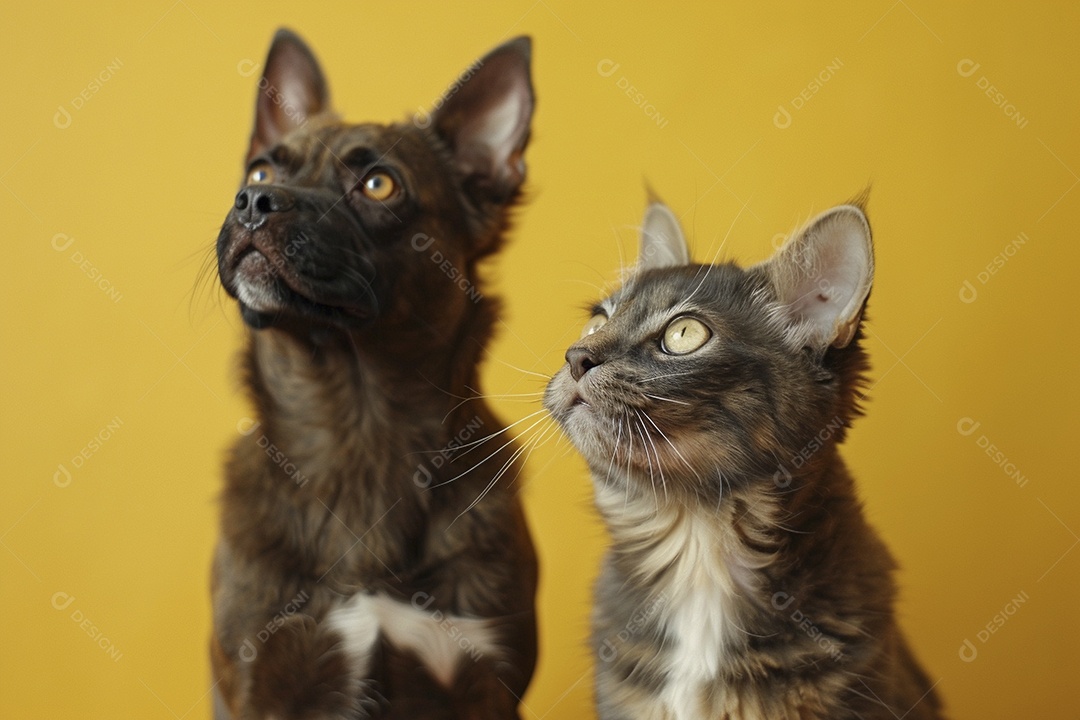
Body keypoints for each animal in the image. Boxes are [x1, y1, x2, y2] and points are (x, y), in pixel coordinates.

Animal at [208, 29, 537, 720]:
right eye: (260, 171)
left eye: (378, 184)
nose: (253, 201)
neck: (358, 429)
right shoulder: (259, 679)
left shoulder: (483, 681)